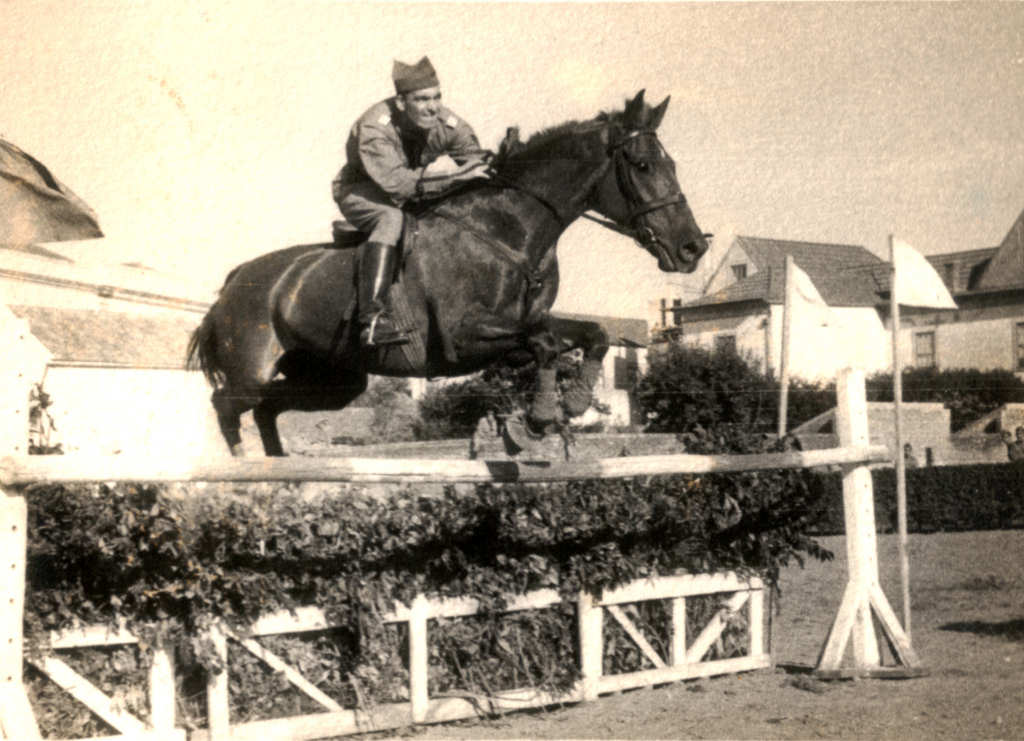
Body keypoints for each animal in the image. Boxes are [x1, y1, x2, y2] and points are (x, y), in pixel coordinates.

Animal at [187, 90, 710, 456]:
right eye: (642, 165)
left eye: (671, 163)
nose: (693, 248)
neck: (511, 229)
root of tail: (232, 282)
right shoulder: (464, 340)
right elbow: (544, 344)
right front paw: (537, 420)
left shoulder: (525, 327)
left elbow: (589, 334)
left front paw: (572, 403)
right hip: (253, 367)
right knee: (227, 405)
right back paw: (240, 467)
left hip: (333, 380)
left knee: (268, 409)